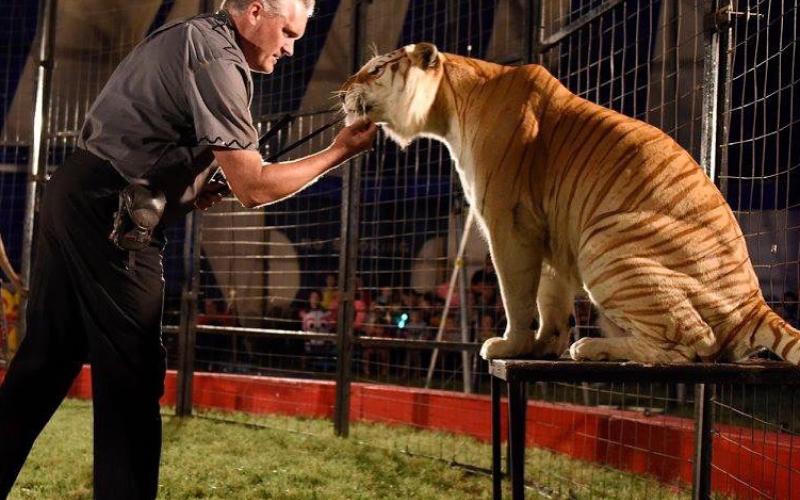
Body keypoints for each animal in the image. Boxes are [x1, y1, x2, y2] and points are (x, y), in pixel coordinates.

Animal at [339, 42, 800, 364]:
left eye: (376, 68)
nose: (342, 92)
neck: (449, 105)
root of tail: (754, 303)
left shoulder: (506, 222)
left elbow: (517, 294)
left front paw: (510, 345)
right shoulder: (545, 228)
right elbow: (550, 296)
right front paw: (544, 345)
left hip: (606, 241)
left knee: (695, 343)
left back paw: (593, 347)